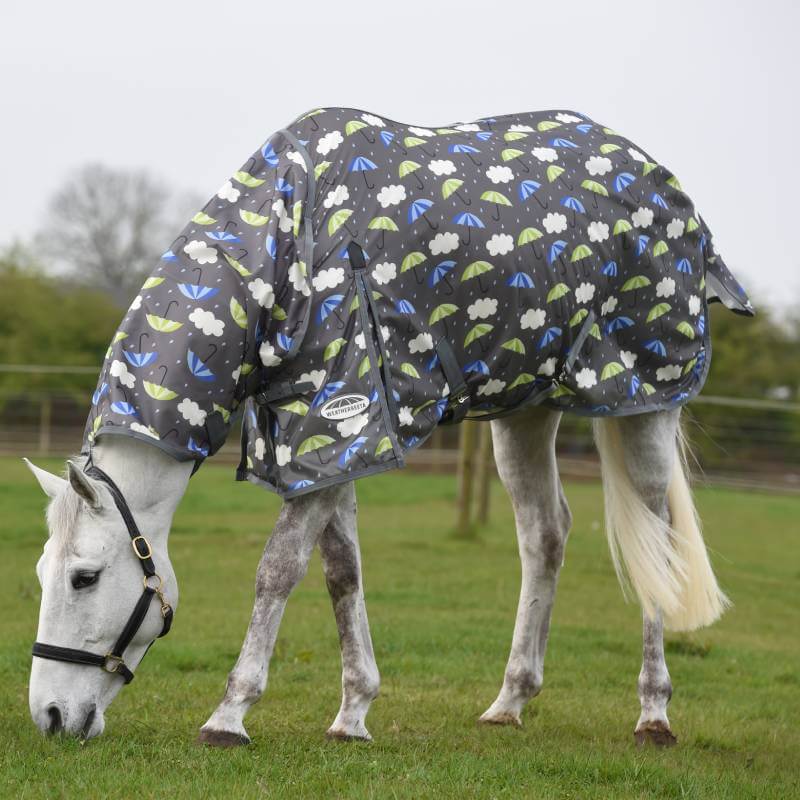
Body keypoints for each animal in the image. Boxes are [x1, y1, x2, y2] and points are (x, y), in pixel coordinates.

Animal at [25, 107, 751, 746]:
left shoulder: (340, 415)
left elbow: (278, 570)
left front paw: (229, 715)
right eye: (40, 572)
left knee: (657, 541)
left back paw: (653, 714)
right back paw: (510, 702)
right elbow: (340, 572)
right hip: (526, 410)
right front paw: (353, 714)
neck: (294, 243)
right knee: (545, 536)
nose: (51, 717)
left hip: (647, 402)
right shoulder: (329, 442)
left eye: (84, 577)